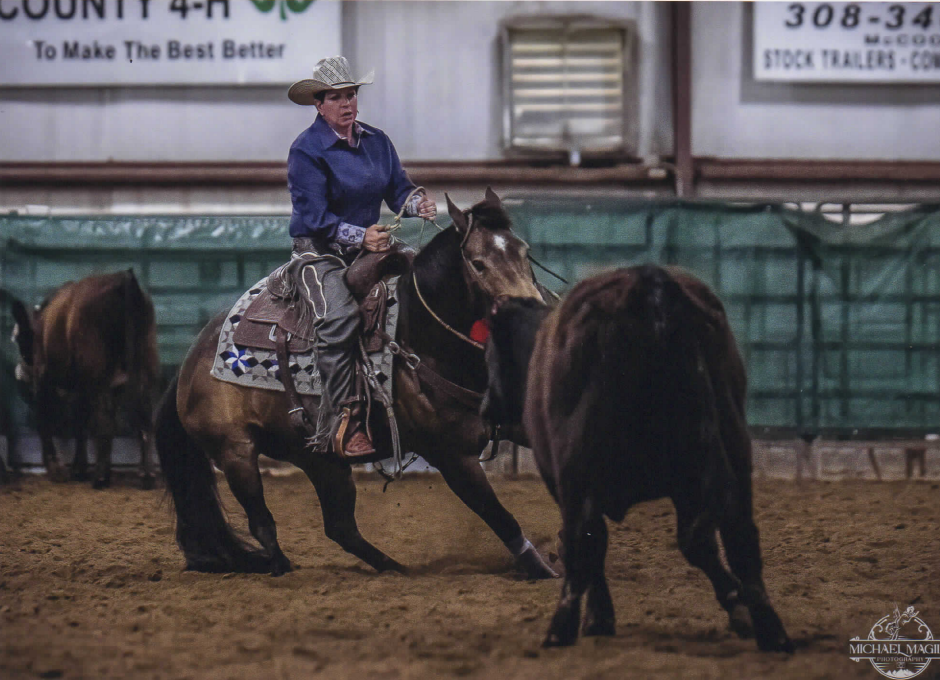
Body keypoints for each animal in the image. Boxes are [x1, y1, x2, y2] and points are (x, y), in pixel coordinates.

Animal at [10, 270, 160, 488]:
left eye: (19, 338)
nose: (19, 371)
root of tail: (123, 277)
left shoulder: (44, 377)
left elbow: (46, 419)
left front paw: (56, 469)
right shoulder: (86, 386)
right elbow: (80, 420)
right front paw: (79, 468)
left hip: (96, 372)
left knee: (104, 420)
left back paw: (100, 478)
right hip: (145, 365)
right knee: (145, 418)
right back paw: (146, 474)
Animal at [154, 187, 560, 580]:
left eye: (524, 252)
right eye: (478, 264)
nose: (533, 311)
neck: (425, 338)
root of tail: (190, 363)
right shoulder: (452, 455)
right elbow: (499, 516)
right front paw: (540, 568)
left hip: (320, 459)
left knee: (340, 528)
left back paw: (395, 569)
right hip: (236, 452)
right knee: (263, 523)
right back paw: (281, 568)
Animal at [484, 264, 792, 652]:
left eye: (487, 353)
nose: (484, 407)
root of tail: (650, 285)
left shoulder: (566, 482)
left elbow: (584, 544)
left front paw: (598, 617)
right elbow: (699, 543)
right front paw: (737, 607)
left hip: (578, 467)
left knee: (584, 540)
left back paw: (561, 629)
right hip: (732, 443)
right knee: (739, 535)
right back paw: (769, 629)